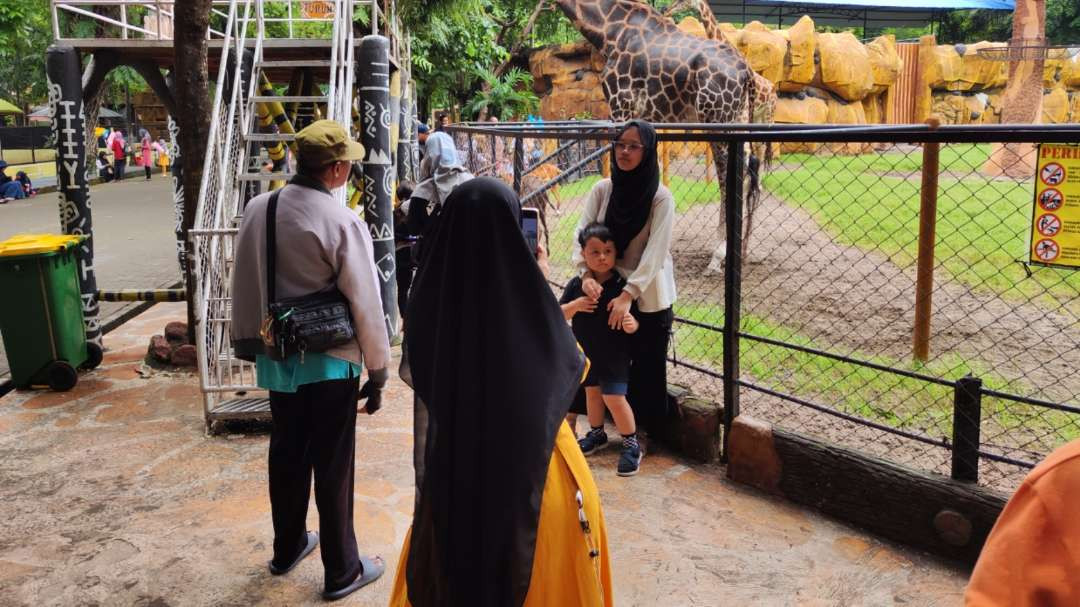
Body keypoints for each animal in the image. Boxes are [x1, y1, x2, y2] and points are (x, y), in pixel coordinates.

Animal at [557, 0, 768, 261]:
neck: (609, 32)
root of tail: (746, 71)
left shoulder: (620, 106)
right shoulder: (644, 118)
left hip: (718, 118)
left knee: (728, 177)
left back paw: (719, 253)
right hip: (739, 118)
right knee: (750, 174)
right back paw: (743, 249)